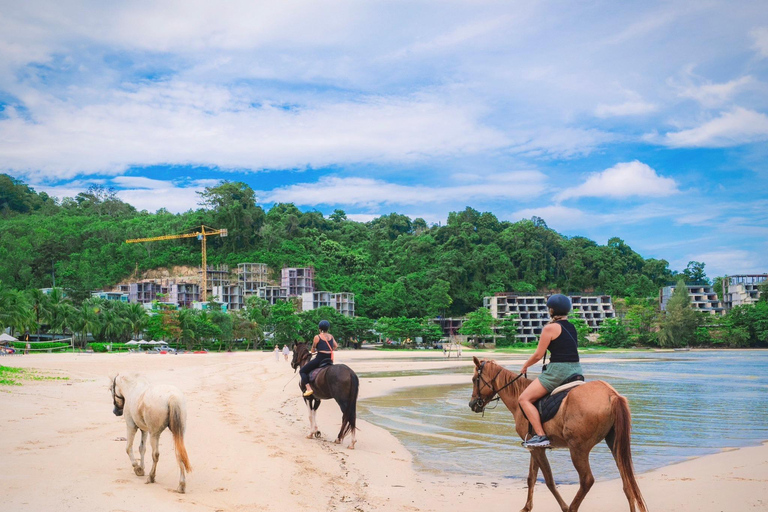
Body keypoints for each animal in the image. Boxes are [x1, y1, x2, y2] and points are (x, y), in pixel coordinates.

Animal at [472, 356, 644, 512]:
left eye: (474, 379)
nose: (472, 404)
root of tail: (611, 395)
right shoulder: (534, 448)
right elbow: (531, 477)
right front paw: (527, 507)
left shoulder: (538, 449)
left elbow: (548, 480)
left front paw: (563, 506)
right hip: (615, 445)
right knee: (627, 484)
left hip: (577, 449)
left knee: (587, 480)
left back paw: (572, 508)